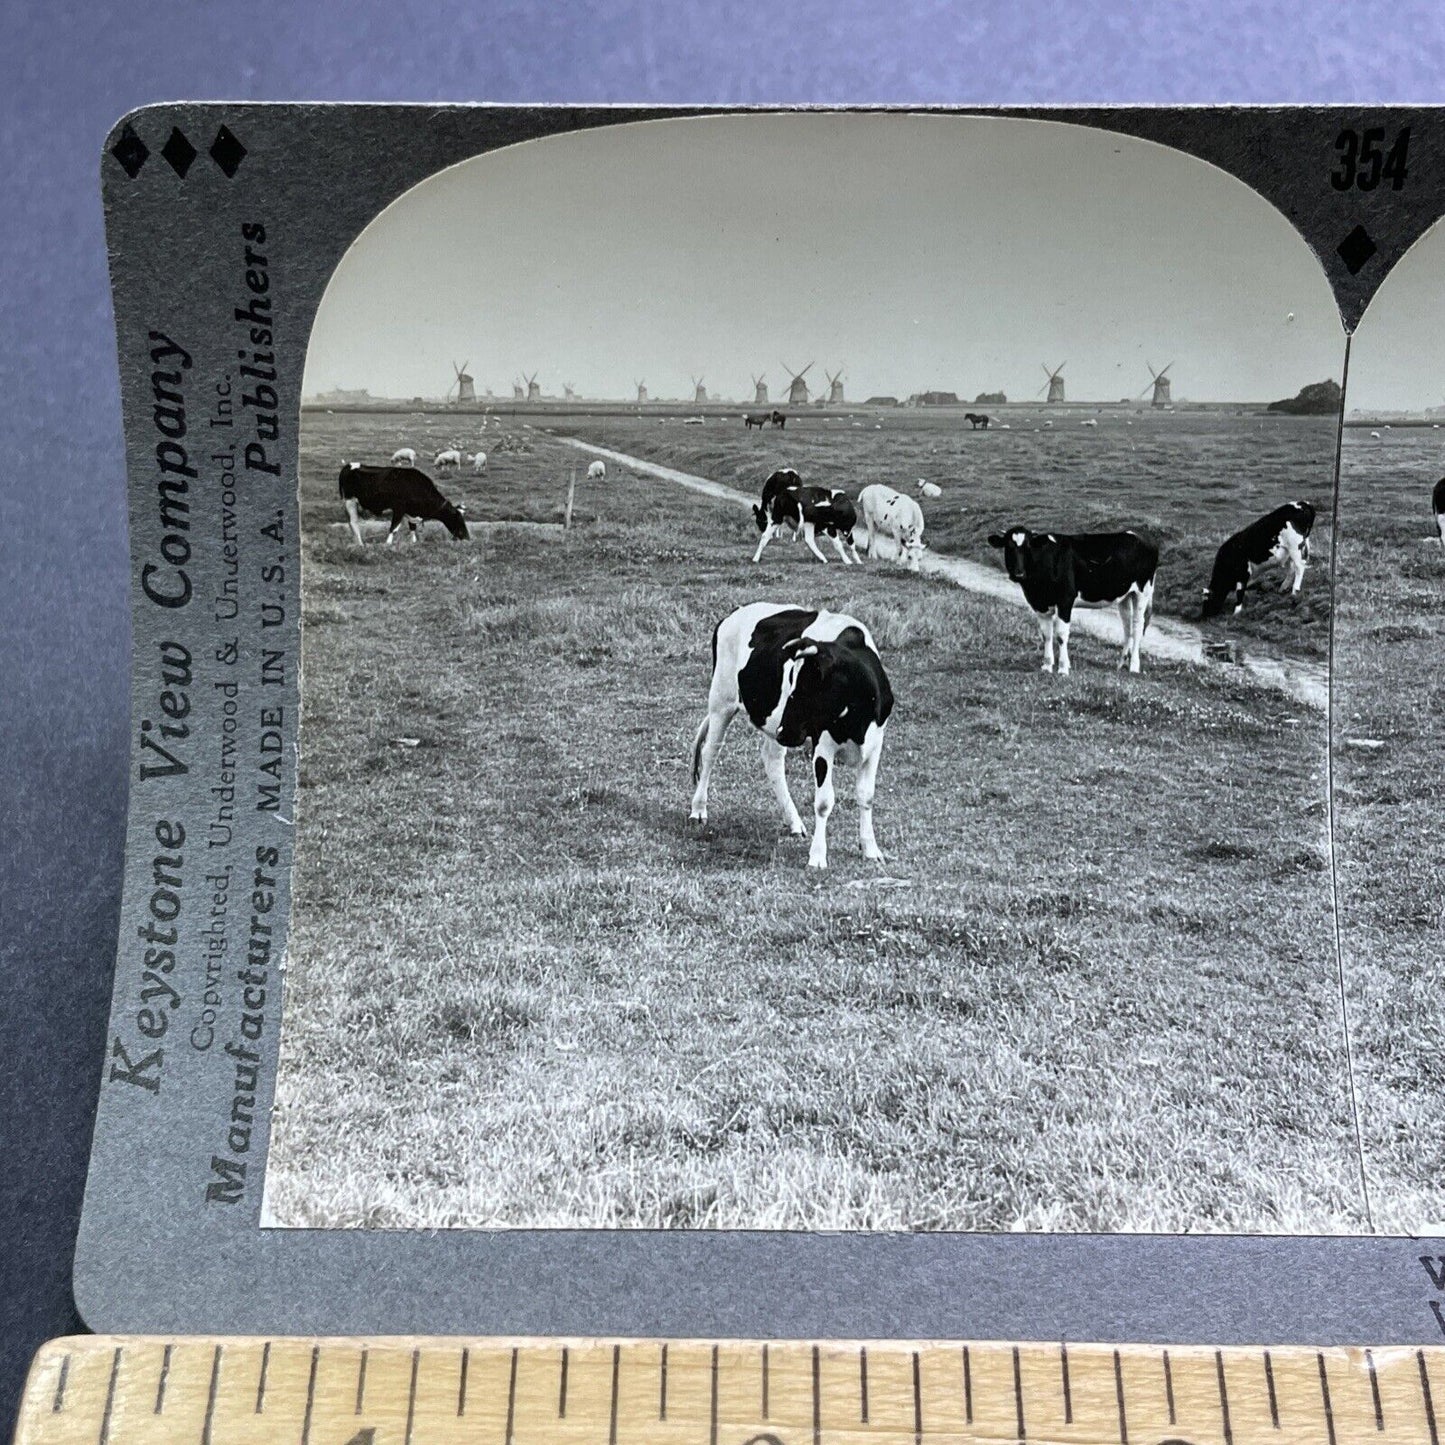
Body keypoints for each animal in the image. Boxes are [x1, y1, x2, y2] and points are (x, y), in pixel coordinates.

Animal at [336, 459, 468, 543]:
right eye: (458, 519)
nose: (467, 537)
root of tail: (348, 466)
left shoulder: (411, 511)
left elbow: (412, 528)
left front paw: (413, 543)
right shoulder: (399, 508)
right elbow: (394, 528)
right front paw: (387, 545)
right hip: (349, 501)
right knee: (353, 523)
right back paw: (360, 544)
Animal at [687, 601, 890, 867]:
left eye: (808, 686)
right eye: (792, 682)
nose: (784, 732)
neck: (856, 721)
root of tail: (732, 615)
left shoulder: (875, 745)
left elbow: (867, 796)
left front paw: (870, 849)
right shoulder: (822, 745)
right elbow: (824, 802)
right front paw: (817, 856)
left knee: (771, 758)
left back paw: (794, 821)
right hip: (722, 700)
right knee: (711, 751)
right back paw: (698, 809)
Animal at [988, 528, 1156, 673]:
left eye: (1028, 546)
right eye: (1008, 546)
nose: (1019, 574)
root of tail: (1140, 536)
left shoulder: (1065, 600)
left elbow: (1061, 635)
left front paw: (1063, 668)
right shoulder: (1039, 604)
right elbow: (1046, 634)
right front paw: (1047, 666)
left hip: (1143, 591)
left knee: (1137, 626)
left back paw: (1134, 666)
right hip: (1125, 595)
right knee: (1127, 626)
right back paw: (1121, 664)